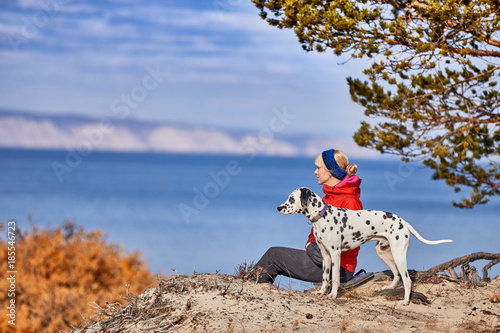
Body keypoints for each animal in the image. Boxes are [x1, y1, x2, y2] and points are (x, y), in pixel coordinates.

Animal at [278, 187, 454, 304]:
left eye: (291, 199)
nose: (278, 207)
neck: (323, 216)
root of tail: (403, 222)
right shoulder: (325, 255)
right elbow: (325, 277)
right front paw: (321, 292)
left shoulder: (335, 254)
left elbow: (334, 278)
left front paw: (332, 295)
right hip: (384, 253)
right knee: (396, 275)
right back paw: (389, 287)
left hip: (399, 255)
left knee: (407, 280)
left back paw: (405, 301)